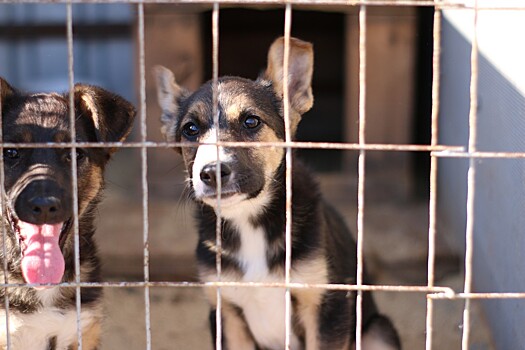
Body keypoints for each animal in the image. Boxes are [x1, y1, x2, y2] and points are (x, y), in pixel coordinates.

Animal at [154, 37, 400, 348]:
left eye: (251, 122)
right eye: (190, 129)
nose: (211, 173)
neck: (249, 221)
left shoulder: (327, 308)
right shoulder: (226, 315)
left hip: (378, 330)